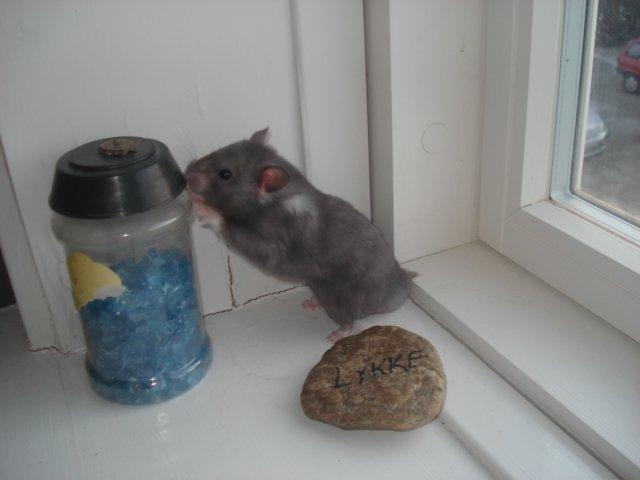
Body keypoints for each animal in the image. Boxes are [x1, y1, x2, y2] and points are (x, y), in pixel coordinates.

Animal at [185, 128, 415, 342]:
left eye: (225, 174)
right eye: (216, 152)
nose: (186, 175)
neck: (279, 195)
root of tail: (401, 286)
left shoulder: (277, 238)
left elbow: (250, 241)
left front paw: (203, 207)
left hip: (337, 297)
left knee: (347, 319)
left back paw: (338, 332)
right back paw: (312, 302)